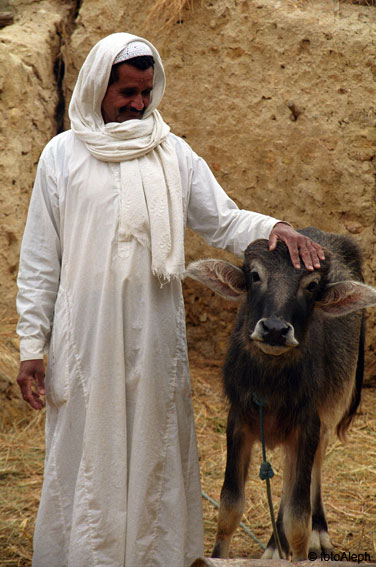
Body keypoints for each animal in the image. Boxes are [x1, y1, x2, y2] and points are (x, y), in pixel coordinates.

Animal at [187, 227, 376, 564]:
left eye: (311, 285)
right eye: (254, 275)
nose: (275, 329)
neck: (270, 385)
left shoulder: (307, 426)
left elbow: (297, 517)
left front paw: (300, 544)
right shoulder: (238, 421)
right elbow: (229, 507)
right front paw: (218, 555)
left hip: (329, 413)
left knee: (310, 471)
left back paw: (311, 535)